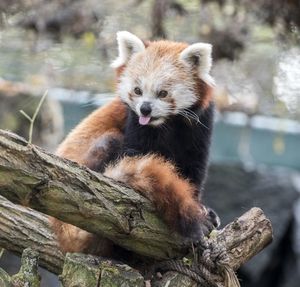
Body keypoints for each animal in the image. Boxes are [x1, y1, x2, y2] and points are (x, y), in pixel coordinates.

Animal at [51, 31, 219, 256]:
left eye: (163, 93)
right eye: (138, 90)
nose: (145, 109)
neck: (166, 124)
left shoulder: (199, 127)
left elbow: (193, 171)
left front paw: (200, 208)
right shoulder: (134, 124)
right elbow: (136, 155)